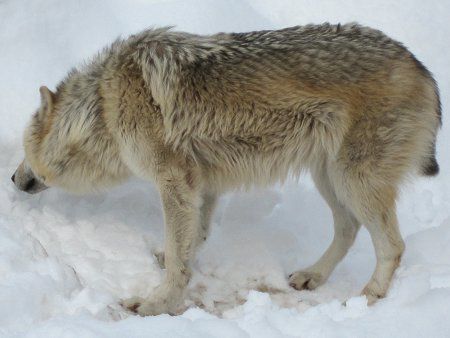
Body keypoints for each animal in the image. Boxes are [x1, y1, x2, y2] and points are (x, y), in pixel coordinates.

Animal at [12, 23, 442, 314]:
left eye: (23, 150)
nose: (13, 179)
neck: (102, 108)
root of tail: (421, 67)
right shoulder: (201, 184)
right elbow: (191, 240)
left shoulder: (175, 181)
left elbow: (179, 254)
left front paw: (156, 304)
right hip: (330, 178)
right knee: (349, 229)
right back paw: (312, 276)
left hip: (353, 181)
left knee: (393, 246)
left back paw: (368, 298)